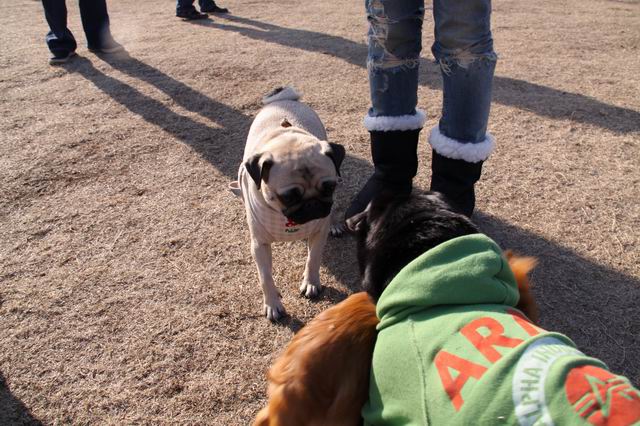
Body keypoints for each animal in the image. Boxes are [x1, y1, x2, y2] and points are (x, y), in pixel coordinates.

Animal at [230, 87, 345, 321]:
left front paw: (311, 282)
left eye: (328, 188)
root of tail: (283, 100)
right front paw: (272, 304)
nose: (312, 204)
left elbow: (313, 259)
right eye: (289, 197)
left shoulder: (318, 232)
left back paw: (336, 224)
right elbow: (265, 277)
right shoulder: (259, 244)